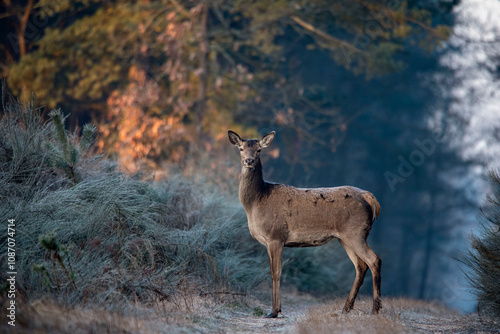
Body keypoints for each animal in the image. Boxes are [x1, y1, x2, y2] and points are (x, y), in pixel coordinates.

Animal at [228, 129, 382, 318]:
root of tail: (369, 196)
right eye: (241, 149)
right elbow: (274, 271)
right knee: (360, 265)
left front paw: (274, 311)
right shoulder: (270, 240)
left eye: (258, 150)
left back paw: (375, 309)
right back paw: (346, 308)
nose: (249, 161)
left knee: (374, 260)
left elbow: (276, 273)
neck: (256, 202)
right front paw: (277, 309)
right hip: (345, 237)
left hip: (356, 232)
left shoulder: (275, 235)